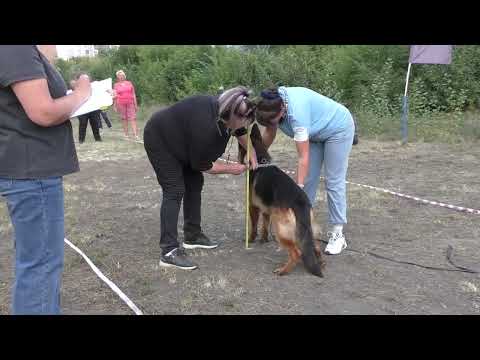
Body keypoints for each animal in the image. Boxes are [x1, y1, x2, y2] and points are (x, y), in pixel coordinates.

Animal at [238, 124, 324, 278]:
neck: (261, 162)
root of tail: (300, 202)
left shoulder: (253, 207)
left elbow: (254, 226)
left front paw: (251, 239)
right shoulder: (266, 210)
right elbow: (265, 227)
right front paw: (264, 240)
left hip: (281, 228)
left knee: (296, 253)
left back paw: (283, 270)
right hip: (304, 232)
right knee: (316, 247)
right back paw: (320, 263)